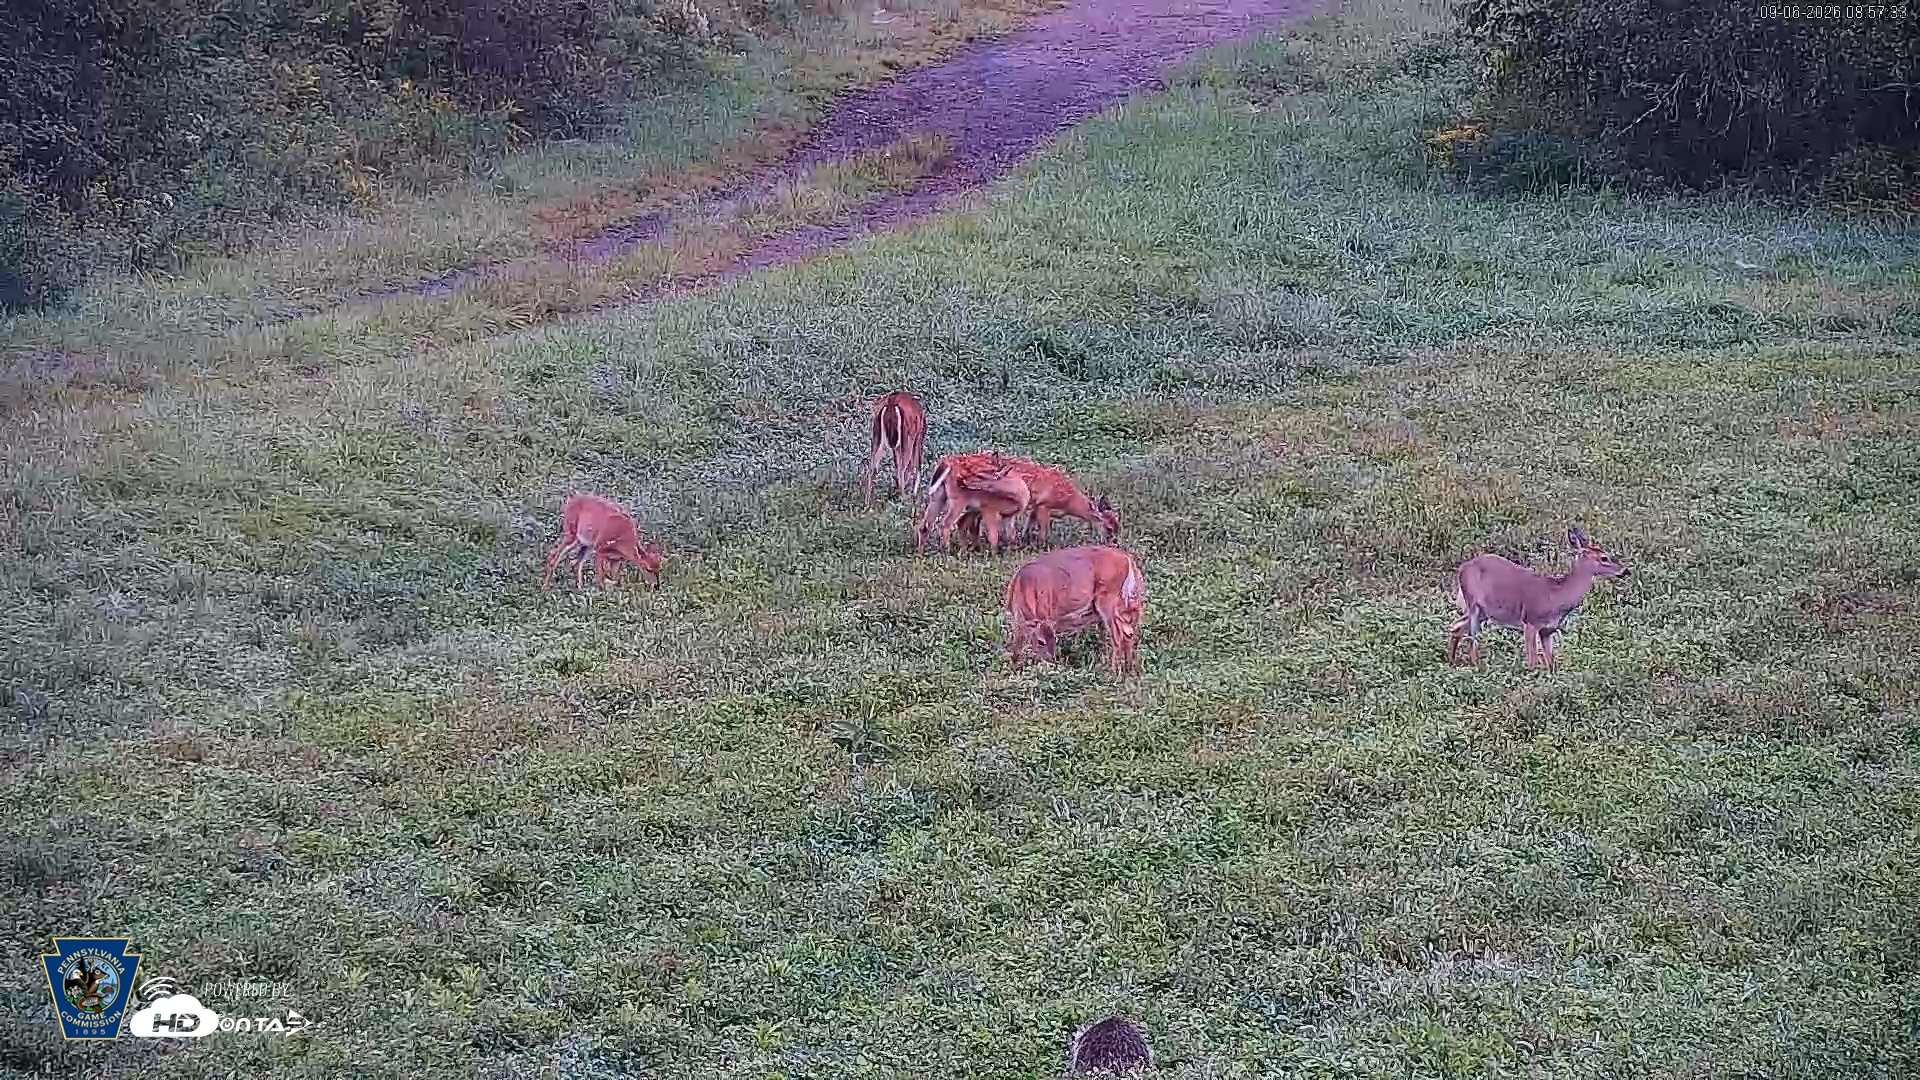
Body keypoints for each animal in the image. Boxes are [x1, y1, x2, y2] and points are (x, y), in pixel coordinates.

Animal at [1004, 545, 1144, 675]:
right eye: (1040, 642)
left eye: (1054, 640)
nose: (1051, 663)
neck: (1022, 587)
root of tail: (1127, 559)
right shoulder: (1019, 620)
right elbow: (1016, 646)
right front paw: (1013, 667)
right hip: (1126, 602)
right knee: (1128, 633)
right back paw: (1129, 670)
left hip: (1108, 599)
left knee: (1119, 636)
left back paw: (1112, 672)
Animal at [1446, 526, 1630, 670]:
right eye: (1604, 558)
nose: (1625, 571)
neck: (1557, 596)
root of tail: (1462, 568)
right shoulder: (1530, 622)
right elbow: (1532, 663)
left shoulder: (1548, 630)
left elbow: (1551, 664)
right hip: (1473, 604)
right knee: (1472, 637)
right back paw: (1475, 666)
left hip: (1485, 612)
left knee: (1456, 627)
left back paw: (1452, 662)